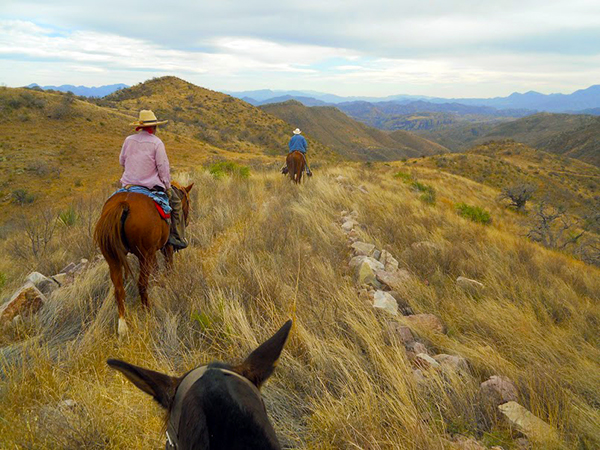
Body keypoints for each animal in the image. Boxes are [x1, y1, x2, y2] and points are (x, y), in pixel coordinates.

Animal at [94, 182, 193, 334]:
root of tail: (124, 204)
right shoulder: (166, 246)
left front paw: (159, 283)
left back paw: (122, 327)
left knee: (119, 289)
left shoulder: (153, 252)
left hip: (113, 259)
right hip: (144, 256)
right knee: (141, 284)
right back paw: (148, 311)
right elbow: (168, 264)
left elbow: (156, 269)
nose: (187, 221)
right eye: (187, 201)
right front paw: (170, 281)